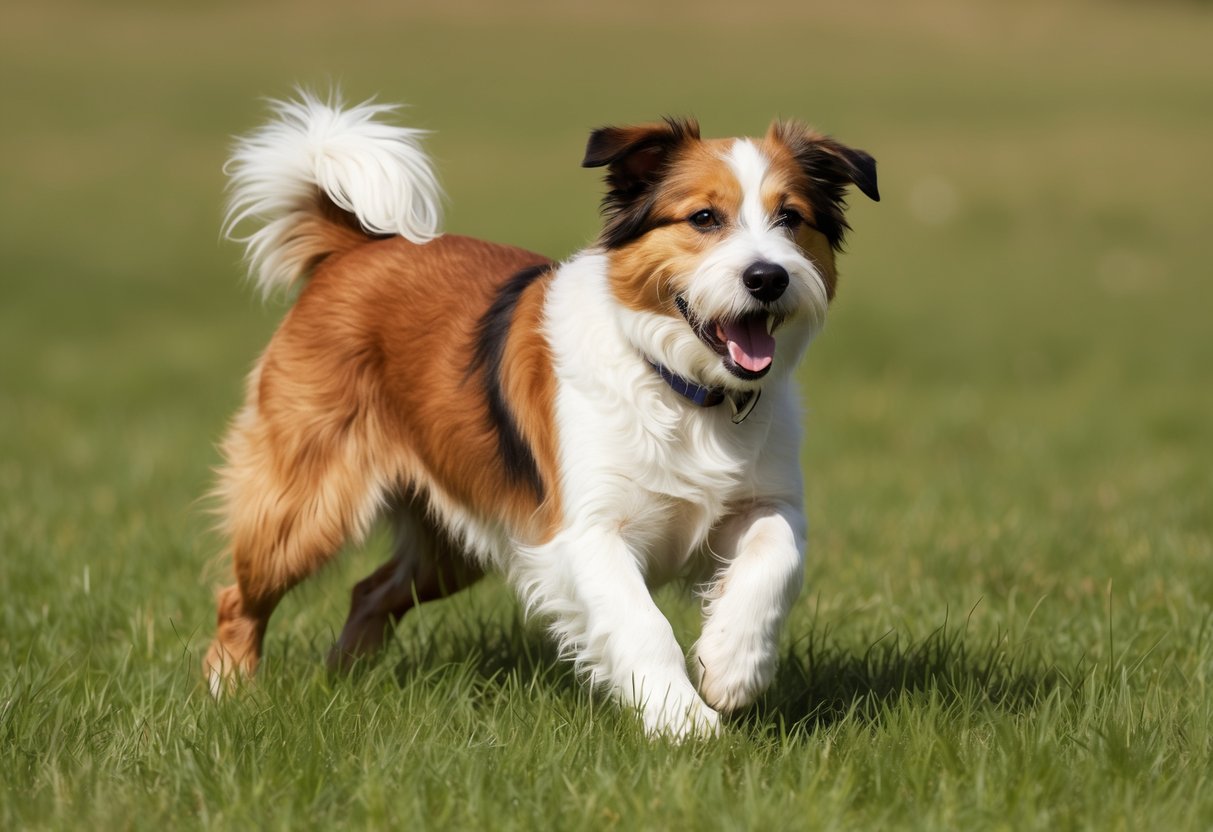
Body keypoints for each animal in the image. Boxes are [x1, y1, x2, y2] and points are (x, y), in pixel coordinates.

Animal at [203, 92, 878, 742]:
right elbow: (643, 625)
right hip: (305, 508)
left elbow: (774, 562)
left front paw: (733, 666)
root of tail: (353, 248)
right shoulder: (586, 532)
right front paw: (682, 722)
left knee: (369, 592)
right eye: (704, 218)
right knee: (238, 599)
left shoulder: (766, 503)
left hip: (456, 539)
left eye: (791, 218)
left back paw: (343, 681)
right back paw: (229, 694)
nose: (768, 277)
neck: (681, 389)